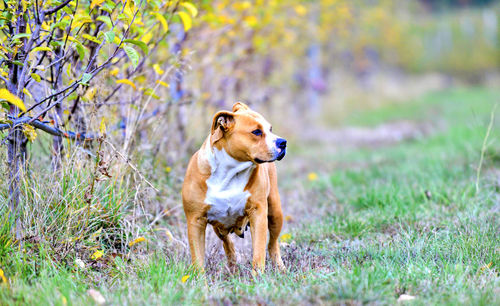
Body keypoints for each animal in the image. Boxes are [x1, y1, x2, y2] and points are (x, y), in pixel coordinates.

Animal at [182, 103, 288, 272]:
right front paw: (200, 279)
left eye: (270, 129)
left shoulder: (258, 213)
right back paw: (232, 267)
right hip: (218, 226)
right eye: (256, 132)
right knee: (227, 242)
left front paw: (258, 276)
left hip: (275, 212)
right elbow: (198, 259)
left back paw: (279, 267)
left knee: (272, 243)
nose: (283, 142)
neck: (229, 172)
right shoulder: (195, 221)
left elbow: (259, 252)